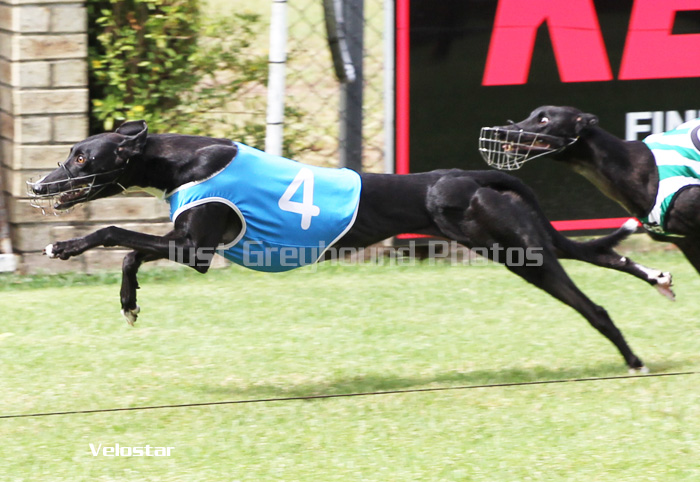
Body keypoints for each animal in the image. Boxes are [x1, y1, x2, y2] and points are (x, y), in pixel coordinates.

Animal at [28, 120, 675, 371]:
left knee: (593, 305)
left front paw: (67, 248)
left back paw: (632, 359)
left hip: (519, 253)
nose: (38, 185)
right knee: (599, 251)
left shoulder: (195, 250)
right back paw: (656, 277)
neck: (182, 159)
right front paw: (129, 303)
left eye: (81, 157)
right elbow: (132, 250)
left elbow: (117, 235)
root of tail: (475, 177)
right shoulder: (184, 245)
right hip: (521, 244)